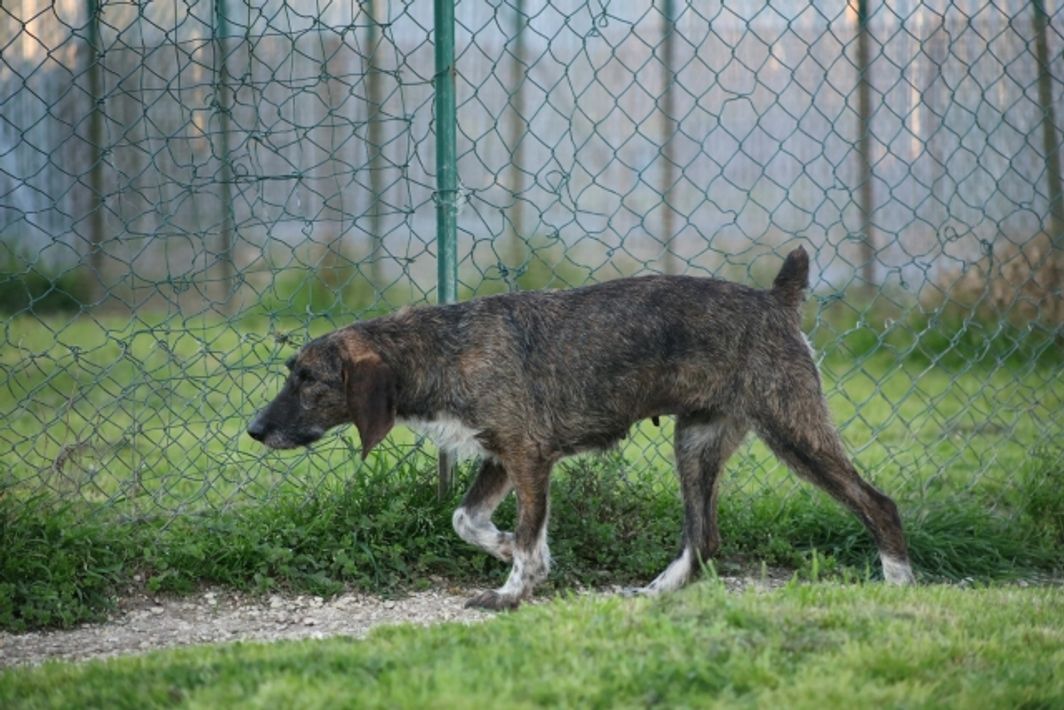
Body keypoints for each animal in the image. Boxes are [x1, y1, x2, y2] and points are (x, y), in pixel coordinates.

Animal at [248, 247, 915, 609]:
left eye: (309, 379)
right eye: (292, 373)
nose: (254, 430)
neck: (441, 350)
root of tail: (776, 298)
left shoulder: (528, 457)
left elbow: (524, 531)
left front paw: (515, 588)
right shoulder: (498, 458)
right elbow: (467, 520)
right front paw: (511, 552)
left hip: (793, 432)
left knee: (877, 504)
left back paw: (900, 585)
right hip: (695, 443)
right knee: (703, 538)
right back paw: (655, 594)